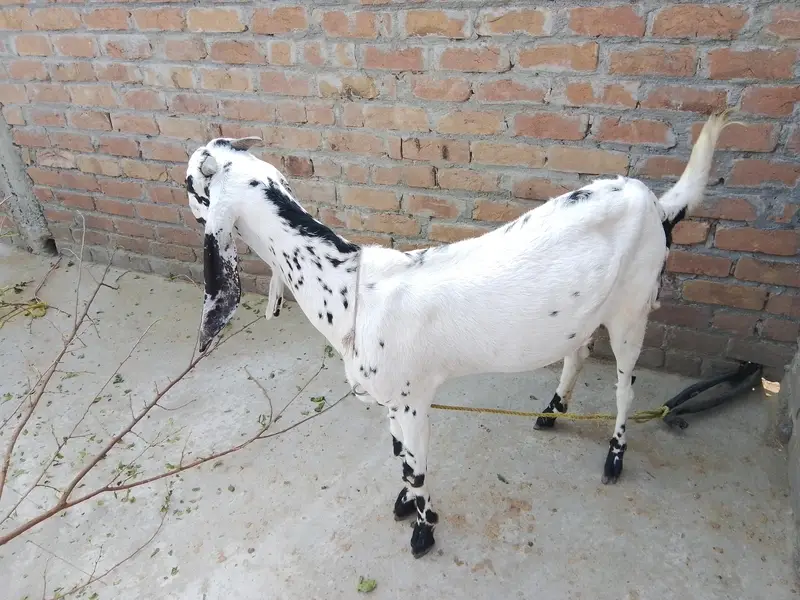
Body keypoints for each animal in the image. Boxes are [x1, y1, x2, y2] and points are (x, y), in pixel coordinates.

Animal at [185, 111, 731, 558]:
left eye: (191, 185)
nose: (187, 198)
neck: (349, 288)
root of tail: (655, 203)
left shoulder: (413, 402)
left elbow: (417, 467)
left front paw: (423, 531)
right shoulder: (394, 401)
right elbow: (400, 458)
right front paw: (404, 504)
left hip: (631, 311)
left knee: (624, 390)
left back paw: (614, 458)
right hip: (585, 312)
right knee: (576, 355)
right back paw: (552, 412)